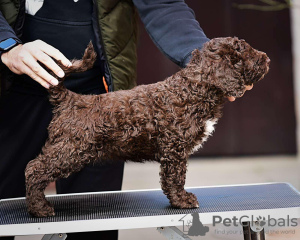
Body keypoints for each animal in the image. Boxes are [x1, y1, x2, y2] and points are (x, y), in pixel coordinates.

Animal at [25, 36, 270, 217]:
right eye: (245, 52)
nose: (267, 59)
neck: (193, 90)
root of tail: (70, 99)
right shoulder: (175, 149)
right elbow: (175, 178)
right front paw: (182, 201)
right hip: (70, 149)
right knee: (34, 169)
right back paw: (39, 208)